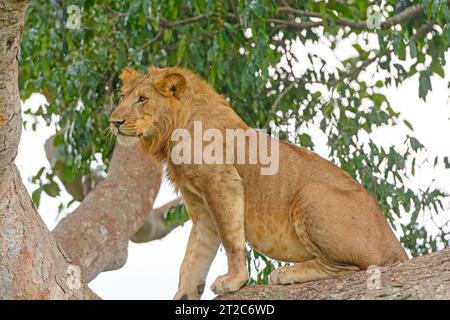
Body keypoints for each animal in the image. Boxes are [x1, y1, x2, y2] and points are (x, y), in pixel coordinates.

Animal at [109, 66, 408, 298]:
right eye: (123, 97)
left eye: (143, 99)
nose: (114, 121)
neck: (171, 133)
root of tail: (396, 245)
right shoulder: (201, 204)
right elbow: (194, 255)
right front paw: (185, 293)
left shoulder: (223, 181)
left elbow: (231, 240)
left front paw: (235, 280)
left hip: (310, 194)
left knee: (353, 267)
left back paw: (286, 273)